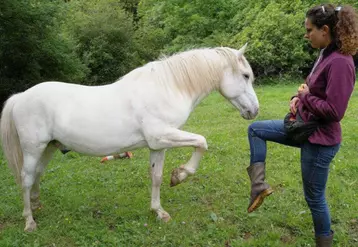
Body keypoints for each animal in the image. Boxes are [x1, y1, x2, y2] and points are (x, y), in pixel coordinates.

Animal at [0, 44, 258, 232]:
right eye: (246, 76)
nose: (254, 111)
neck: (167, 88)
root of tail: (21, 96)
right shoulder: (162, 136)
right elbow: (201, 142)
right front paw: (180, 175)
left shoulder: (159, 145)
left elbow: (156, 177)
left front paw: (158, 211)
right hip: (33, 149)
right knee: (26, 178)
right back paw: (29, 222)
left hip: (49, 148)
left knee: (37, 175)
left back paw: (37, 205)